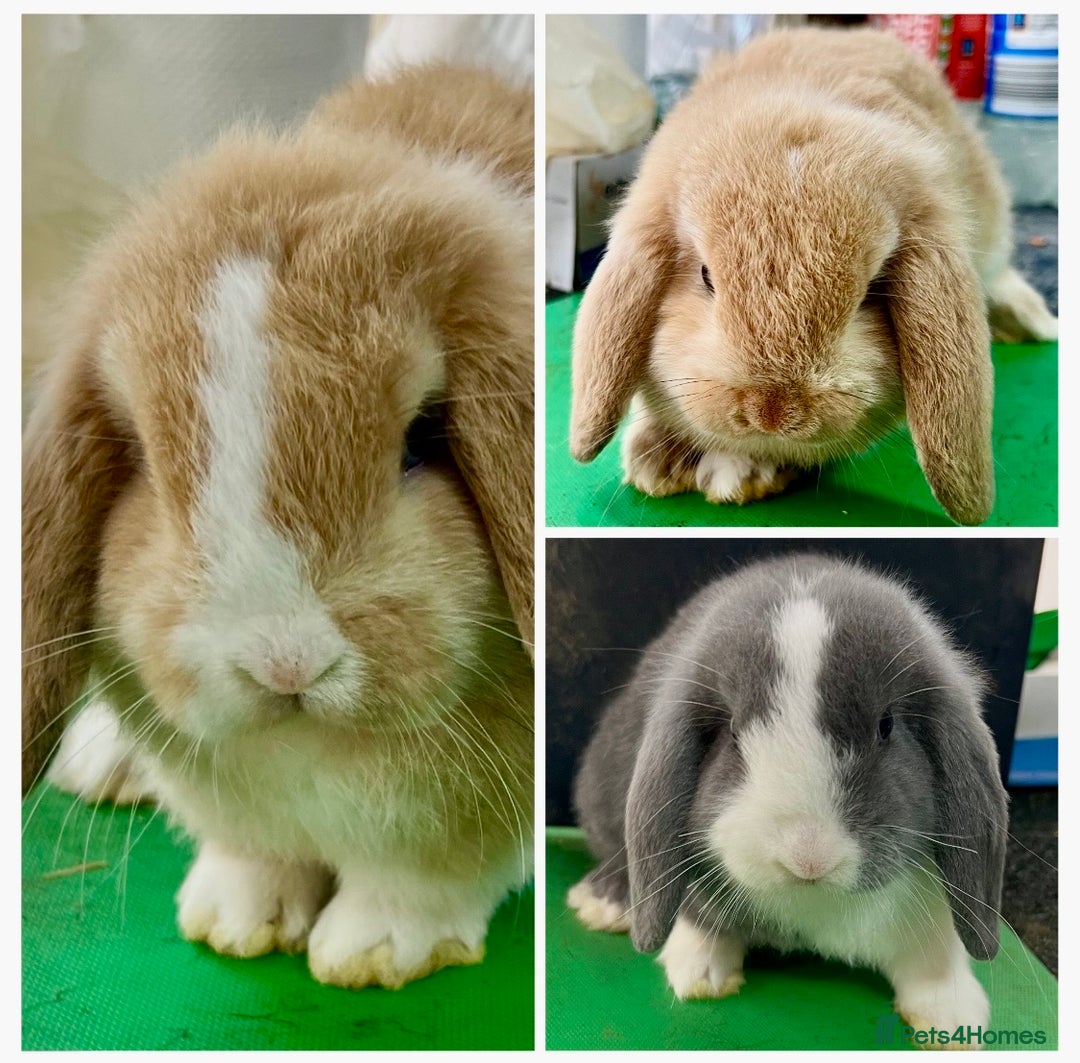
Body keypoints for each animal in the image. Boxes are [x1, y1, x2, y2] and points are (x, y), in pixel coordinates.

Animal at [22, 64, 534, 990]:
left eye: (423, 438)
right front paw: (235, 922)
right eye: (142, 456)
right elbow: (253, 855)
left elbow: (420, 881)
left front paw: (373, 952)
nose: (284, 663)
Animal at [570, 554, 1009, 1045]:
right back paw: (605, 903)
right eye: (734, 732)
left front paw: (955, 1019)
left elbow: (936, 954)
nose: (809, 858)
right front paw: (700, 972)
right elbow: (698, 915)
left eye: (886, 725)